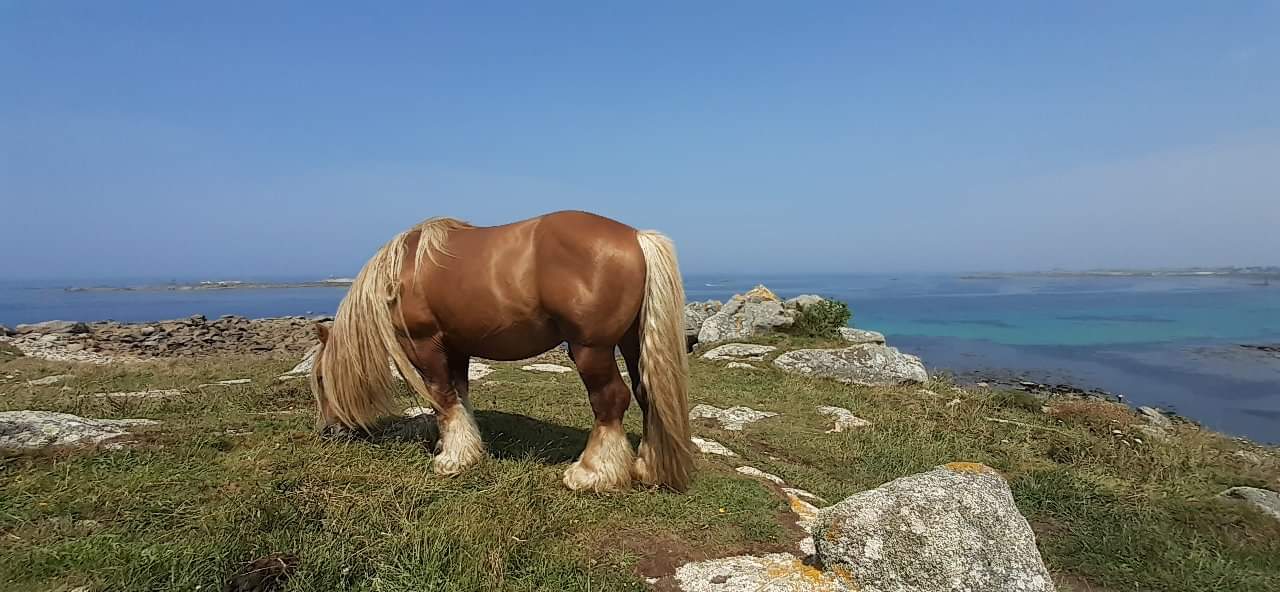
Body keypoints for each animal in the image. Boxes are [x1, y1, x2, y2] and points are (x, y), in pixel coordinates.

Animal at [305, 210, 696, 492]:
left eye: (321, 379)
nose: (327, 432)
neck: (401, 271)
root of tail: (636, 237)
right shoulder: (457, 346)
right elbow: (460, 396)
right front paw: (468, 451)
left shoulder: (425, 344)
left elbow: (442, 398)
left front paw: (450, 460)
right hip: (632, 343)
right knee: (645, 395)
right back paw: (646, 467)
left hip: (591, 349)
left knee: (611, 400)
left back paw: (591, 474)